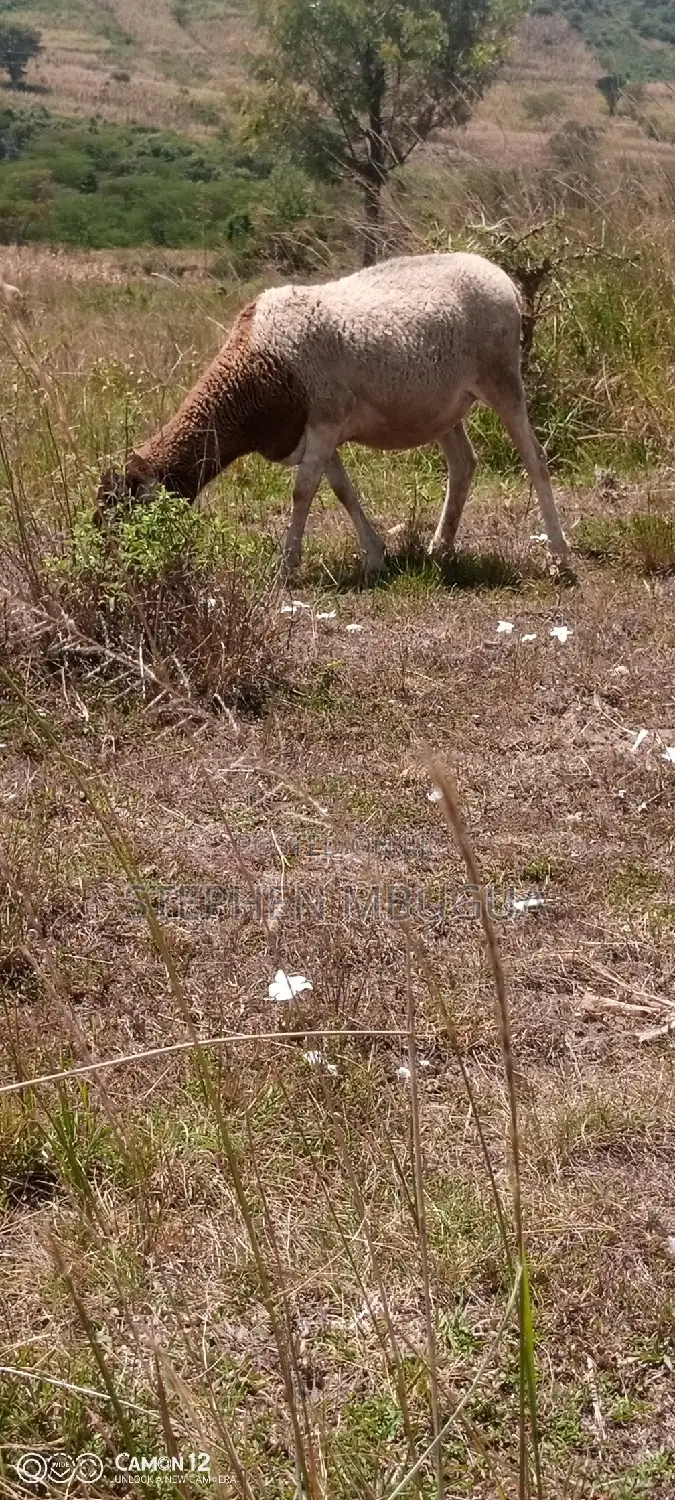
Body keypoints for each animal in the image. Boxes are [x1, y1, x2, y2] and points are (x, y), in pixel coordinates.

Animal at [97, 252, 573, 577]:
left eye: (125, 512)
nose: (109, 567)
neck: (251, 371)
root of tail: (500, 277)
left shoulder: (325, 421)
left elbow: (302, 492)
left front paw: (286, 567)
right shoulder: (317, 434)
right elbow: (343, 490)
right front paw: (375, 557)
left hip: (502, 381)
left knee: (535, 460)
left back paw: (560, 558)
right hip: (443, 407)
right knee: (463, 464)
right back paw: (440, 548)